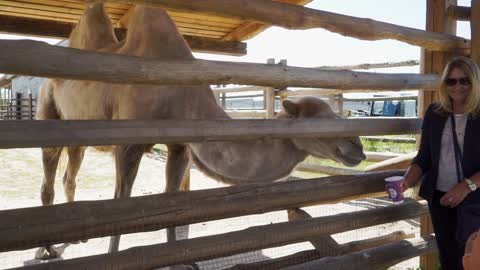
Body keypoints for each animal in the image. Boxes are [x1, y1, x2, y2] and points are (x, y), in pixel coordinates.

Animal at [33, 0, 366, 262]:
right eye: (321, 121)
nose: (358, 147)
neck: (181, 94)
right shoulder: (128, 145)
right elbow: (121, 207)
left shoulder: (181, 147)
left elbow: (173, 204)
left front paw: (179, 261)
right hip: (48, 107)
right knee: (49, 175)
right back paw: (46, 249)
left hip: (78, 133)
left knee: (69, 174)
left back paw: (75, 237)